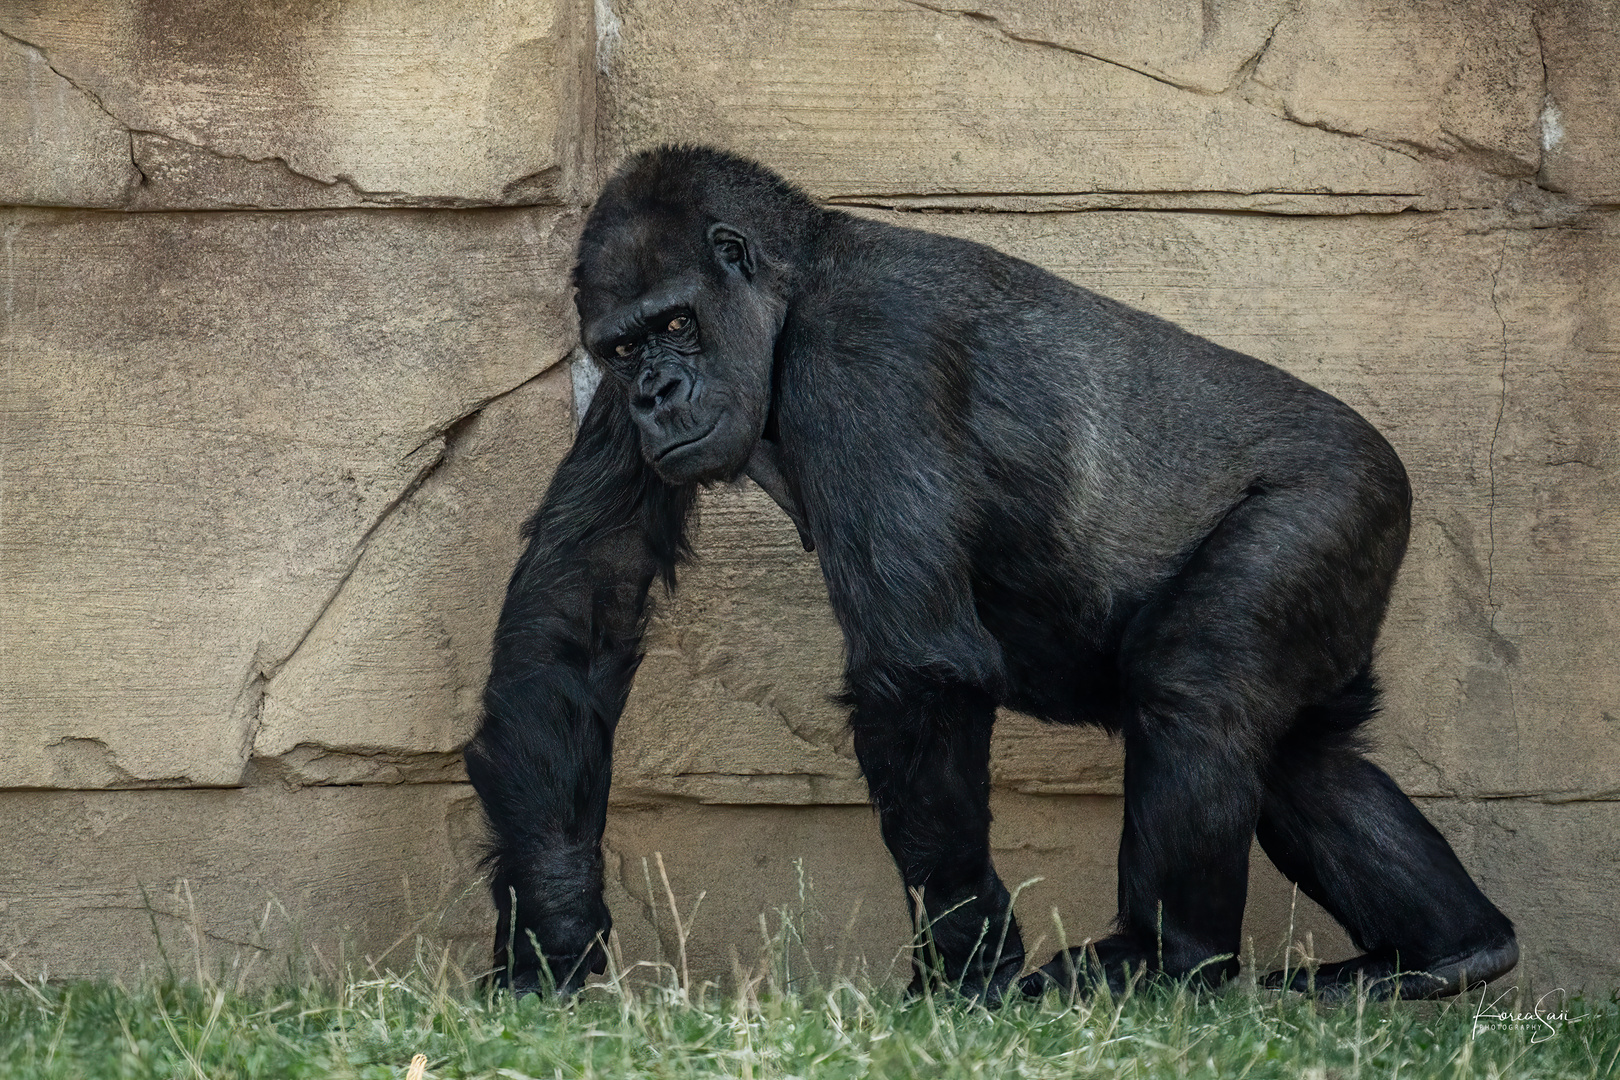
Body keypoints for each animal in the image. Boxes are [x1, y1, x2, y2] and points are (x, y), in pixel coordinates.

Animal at [466, 145, 1516, 1003]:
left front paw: (966, 965)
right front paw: (551, 934)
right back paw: (1448, 950)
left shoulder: (861, 355)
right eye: (625, 346)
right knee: (1298, 750)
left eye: (679, 323)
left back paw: (1164, 959)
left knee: (1196, 688)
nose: (659, 392)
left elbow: (919, 671)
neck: (796, 283)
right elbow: (576, 609)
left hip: (1341, 495)